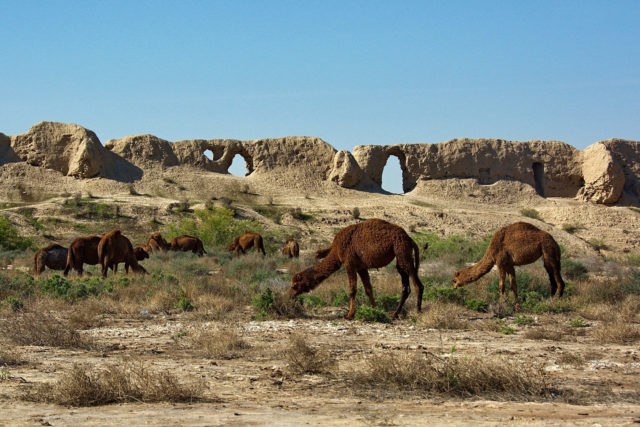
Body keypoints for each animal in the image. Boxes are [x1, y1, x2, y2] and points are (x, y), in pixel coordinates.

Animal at [292, 221, 424, 320]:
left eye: (295, 285)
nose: (291, 295)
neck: (336, 250)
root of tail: (410, 239)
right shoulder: (361, 267)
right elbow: (368, 289)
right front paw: (375, 311)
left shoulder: (349, 263)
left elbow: (352, 290)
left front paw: (349, 315)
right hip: (400, 256)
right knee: (405, 287)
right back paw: (394, 315)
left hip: (402, 251)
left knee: (418, 284)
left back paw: (417, 312)